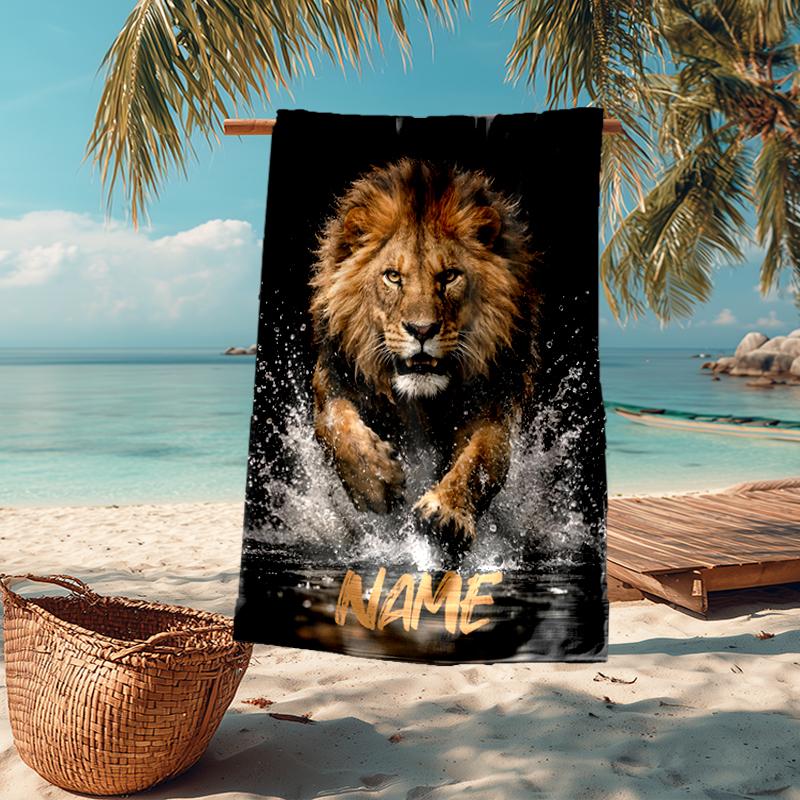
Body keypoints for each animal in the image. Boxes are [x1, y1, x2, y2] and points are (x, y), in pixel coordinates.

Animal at [309, 159, 540, 554]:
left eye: (448, 276)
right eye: (392, 277)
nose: (421, 330)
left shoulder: (492, 401)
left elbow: (483, 457)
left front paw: (446, 512)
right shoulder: (334, 378)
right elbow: (335, 423)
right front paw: (377, 482)